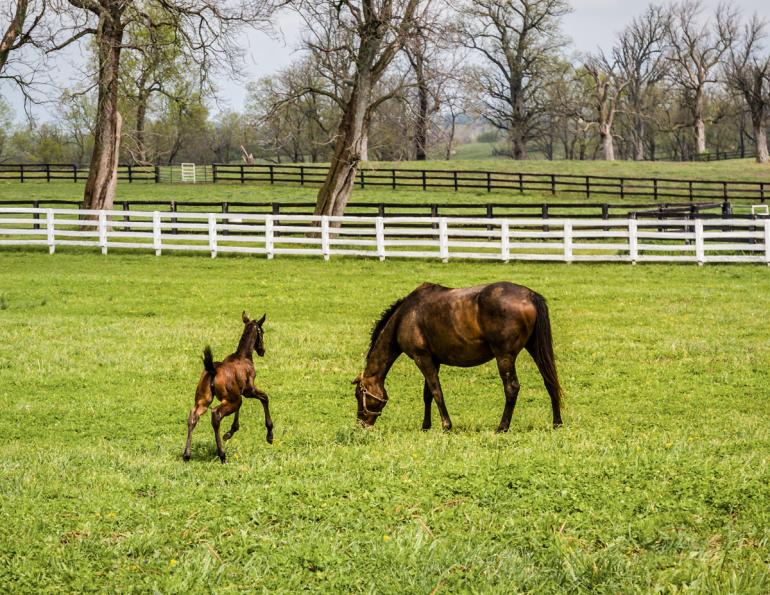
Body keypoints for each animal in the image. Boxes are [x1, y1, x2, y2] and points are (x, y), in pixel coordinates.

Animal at [183, 312, 273, 463]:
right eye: (262, 332)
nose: (262, 351)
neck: (243, 356)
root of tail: (212, 370)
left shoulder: (239, 392)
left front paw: (230, 432)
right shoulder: (248, 390)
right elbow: (265, 398)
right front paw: (270, 436)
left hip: (204, 400)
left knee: (193, 416)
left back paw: (186, 455)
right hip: (230, 400)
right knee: (216, 414)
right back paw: (222, 455)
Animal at [353, 282, 563, 431]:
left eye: (358, 395)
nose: (361, 424)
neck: (405, 316)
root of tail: (530, 295)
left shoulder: (422, 358)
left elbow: (436, 391)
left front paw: (446, 425)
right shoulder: (433, 360)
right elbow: (427, 394)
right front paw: (426, 426)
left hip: (505, 356)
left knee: (511, 388)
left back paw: (502, 427)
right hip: (535, 350)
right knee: (550, 381)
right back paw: (557, 423)